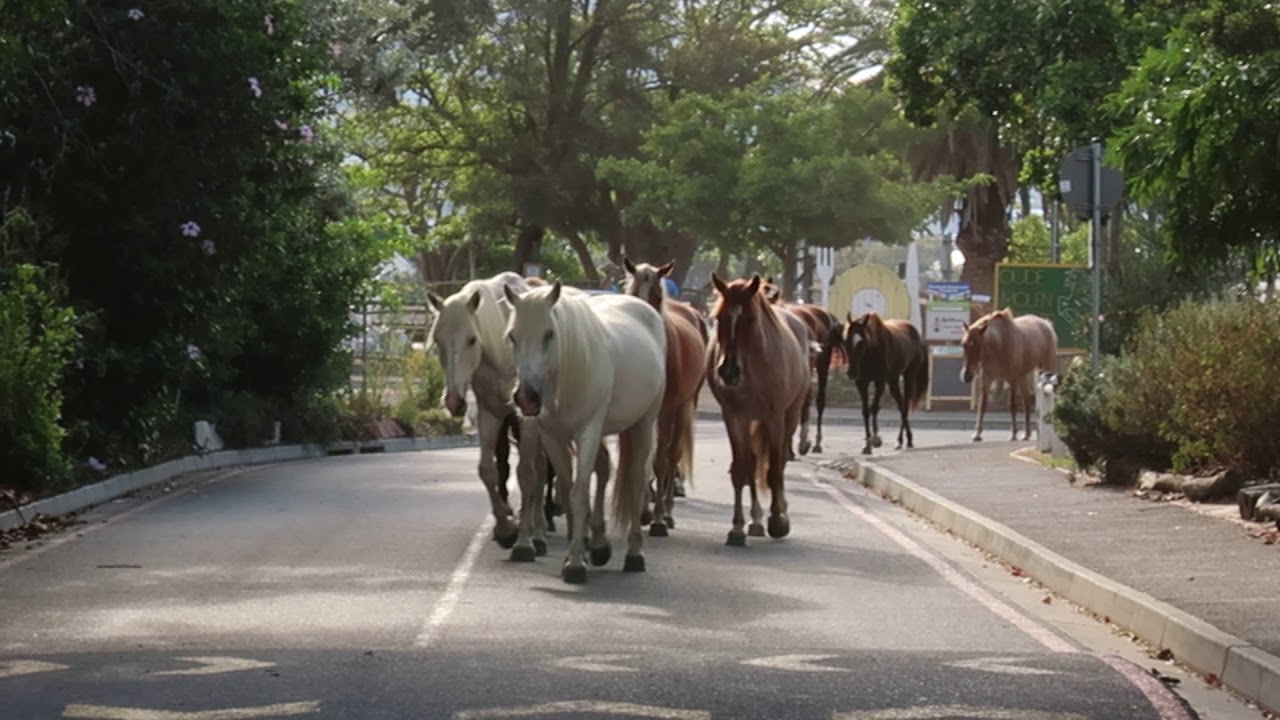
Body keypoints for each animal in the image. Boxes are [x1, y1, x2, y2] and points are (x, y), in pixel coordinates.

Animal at [503, 281, 667, 584]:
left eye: (549, 334)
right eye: (512, 336)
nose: (526, 397)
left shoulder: (588, 432)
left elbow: (579, 493)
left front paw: (576, 565)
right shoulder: (553, 437)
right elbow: (567, 490)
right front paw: (575, 553)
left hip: (643, 424)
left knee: (637, 480)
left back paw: (634, 555)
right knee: (603, 469)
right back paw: (600, 545)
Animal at [621, 257, 708, 536]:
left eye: (657, 295)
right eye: (632, 292)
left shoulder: (667, 409)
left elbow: (660, 459)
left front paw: (657, 517)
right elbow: (644, 458)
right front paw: (643, 511)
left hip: (684, 406)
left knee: (673, 454)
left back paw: (667, 512)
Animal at [706, 273, 815, 546]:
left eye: (750, 319)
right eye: (719, 318)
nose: (728, 371)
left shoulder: (774, 417)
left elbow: (775, 470)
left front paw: (778, 521)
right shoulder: (734, 416)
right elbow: (741, 469)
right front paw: (736, 528)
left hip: (789, 415)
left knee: (780, 462)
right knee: (753, 463)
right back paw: (755, 521)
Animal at [842, 312, 930, 455]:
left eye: (862, 342)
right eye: (845, 341)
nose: (852, 372)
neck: (871, 352)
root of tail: (918, 336)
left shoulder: (880, 382)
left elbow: (874, 408)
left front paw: (875, 439)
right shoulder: (861, 383)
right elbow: (865, 411)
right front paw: (867, 445)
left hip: (909, 375)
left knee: (905, 406)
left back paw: (905, 440)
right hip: (893, 380)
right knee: (901, 405)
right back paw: (902, 440)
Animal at [960, 308, 1058, 442]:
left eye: (978, 344)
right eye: (963, 344)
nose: (966, 375)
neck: (999, 346)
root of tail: (1046, 324)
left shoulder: (1012, 380)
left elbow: (1012, 406)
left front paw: (1013, 434)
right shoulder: (987, 379)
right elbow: (982, 405)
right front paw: (977, 434)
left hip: (1045, 367)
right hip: (1023, 376)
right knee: (1027, 401)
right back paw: (1026, 434)